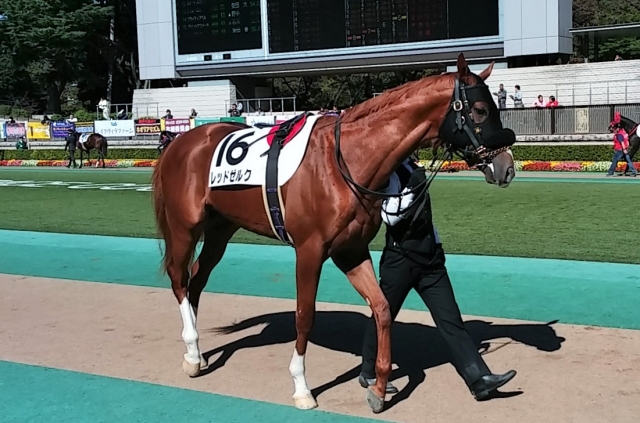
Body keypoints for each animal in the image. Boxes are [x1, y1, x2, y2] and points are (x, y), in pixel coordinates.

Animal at [151, 53, 517, 414]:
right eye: (480, 110)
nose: (507, 167)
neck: (344, 161)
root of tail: (179, 142)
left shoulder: (350, 250)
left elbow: (382, 308)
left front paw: (379, 387)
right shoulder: (309, 250)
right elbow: (304, 315)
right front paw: (301, 387)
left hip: (220, 228)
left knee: (197, 279)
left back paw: (196, 352)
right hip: (185, 226)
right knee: (180, 279)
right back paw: (192, 351)